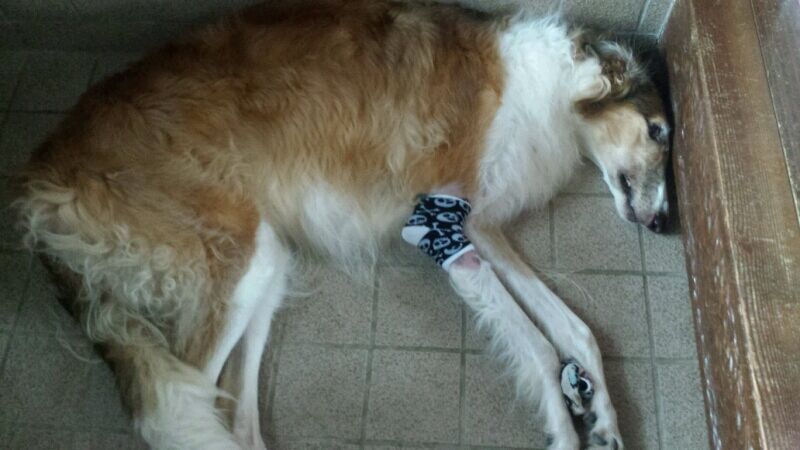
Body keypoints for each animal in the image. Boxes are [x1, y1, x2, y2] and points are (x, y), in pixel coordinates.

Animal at [14, 1, 670, 449]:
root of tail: (39, 185)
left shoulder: (481, 226)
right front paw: (565, 425)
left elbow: (576, 330)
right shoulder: (438, 225)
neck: (547, 84)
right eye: (660, 131)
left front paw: (604, 419)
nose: (666, 223)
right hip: (238, 259)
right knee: (179, 409)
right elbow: (536, 343)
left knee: (233, 421)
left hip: (267, 264)